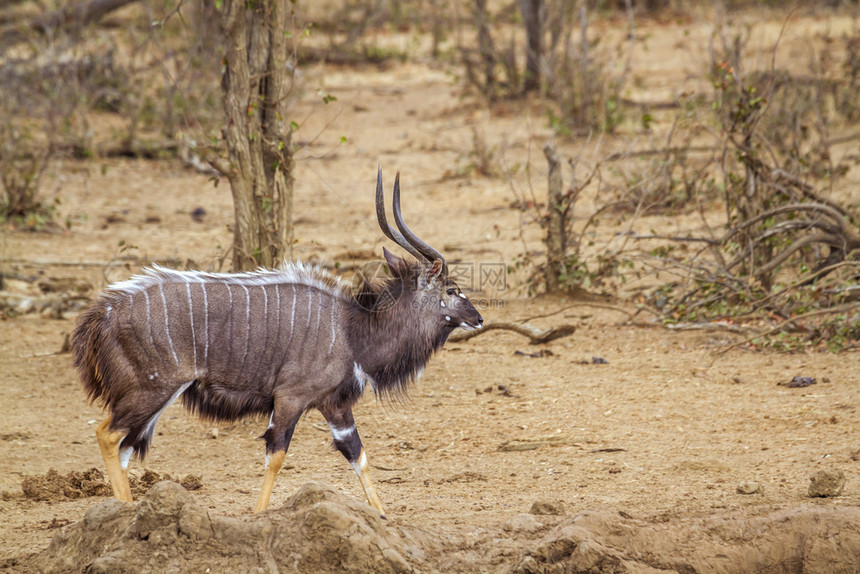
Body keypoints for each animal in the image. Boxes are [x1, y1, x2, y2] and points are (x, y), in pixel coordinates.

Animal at [72, 170, 484, 516]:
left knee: (125, 446)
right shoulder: (290, 399)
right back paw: (122, 512)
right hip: (152, 390)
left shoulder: (334, 405)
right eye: (452, 289)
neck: (353, 330)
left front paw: (382, 517)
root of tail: (101, 316)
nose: (478, 318)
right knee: (108, 434)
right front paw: (259, 517)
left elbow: (358, 455)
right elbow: (277, 455)